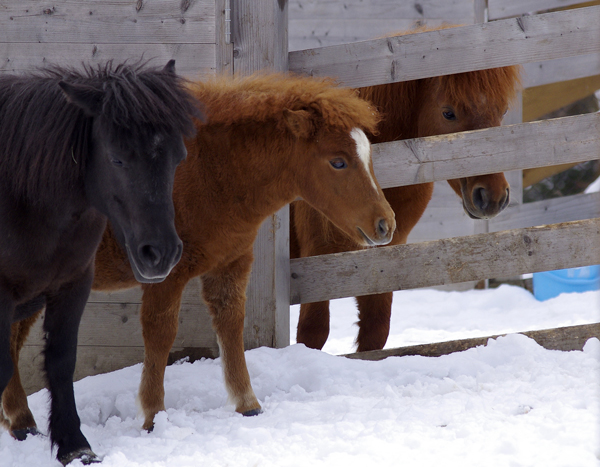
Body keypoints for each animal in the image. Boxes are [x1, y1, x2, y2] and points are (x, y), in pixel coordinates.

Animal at [0, 61, 203, 464]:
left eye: (178, 157)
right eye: (117, 158)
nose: (161, 253)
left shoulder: (73, 284)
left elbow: (61, 361)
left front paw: (75, 446)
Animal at [5, 72, 398, 436]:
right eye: (338, 162)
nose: (385, 224)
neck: (211, 172)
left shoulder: (230, 266)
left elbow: (230, 326)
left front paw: (248, 404)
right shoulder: (166, 273)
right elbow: (160, 335)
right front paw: (153, 415)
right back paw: (21, 420)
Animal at [292, 30, 516, 352]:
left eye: (502, 111)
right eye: (448, 113)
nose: (493, 197)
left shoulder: (385, 260)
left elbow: (375, 334)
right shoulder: (314, 263)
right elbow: (312, 334)